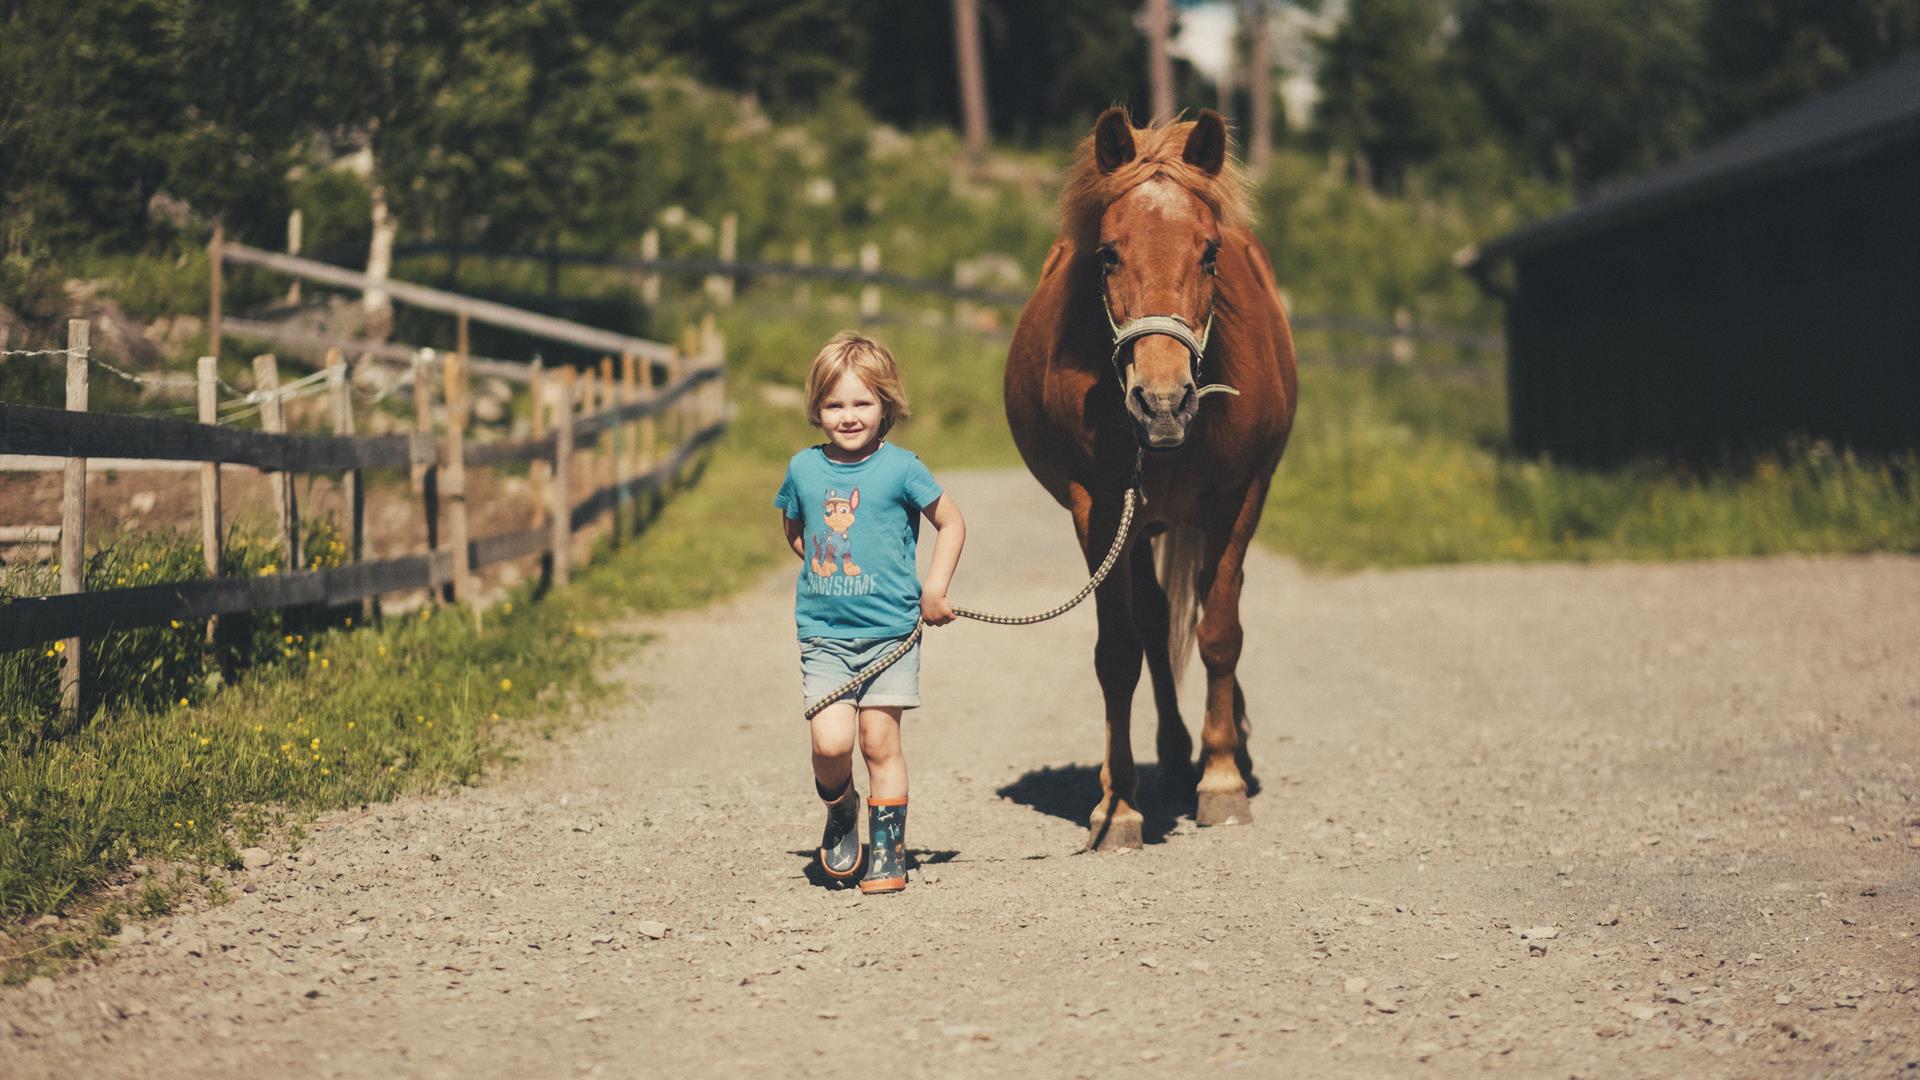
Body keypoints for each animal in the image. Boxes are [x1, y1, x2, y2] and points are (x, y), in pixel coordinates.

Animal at [1004, 107, 1297, 850]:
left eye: (1211, 254)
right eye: (1108, 254)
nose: (1162, 402)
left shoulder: (1240, 498)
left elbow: (1220, 631)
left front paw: (1222, 780)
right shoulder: (1100, 509)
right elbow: (1120, 651)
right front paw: (1119, 804)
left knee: (1209, 607)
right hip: (1138, 528)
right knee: (1157, 623)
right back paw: (1169, 752)